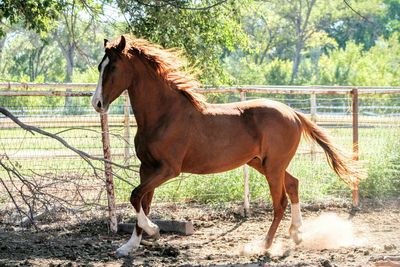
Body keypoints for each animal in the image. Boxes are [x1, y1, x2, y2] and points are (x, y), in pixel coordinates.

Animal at [92, 35, 364, 258]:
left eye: (113, 67)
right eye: (99, 67)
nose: (97, 103)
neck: (164, 115)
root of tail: (293, 114)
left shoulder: (168, 169)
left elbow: (135, 195)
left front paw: (153, 229)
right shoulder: (147, 168)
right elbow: (142, 201)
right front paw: (130, 246)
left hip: (273, 167)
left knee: (280, 202)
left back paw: (264, 245)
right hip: (262, 164)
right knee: (294, 185)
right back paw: (296, 234)